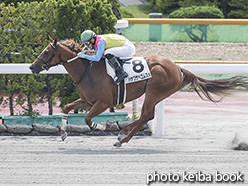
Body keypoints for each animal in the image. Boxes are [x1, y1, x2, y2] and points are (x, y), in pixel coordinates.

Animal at [30, 36, 247, 147]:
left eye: (46, 52)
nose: (32, 67)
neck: (88, 69)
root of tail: (178, 68)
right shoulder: (87, 101)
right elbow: (67, 108)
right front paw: (63, 133)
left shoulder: (103, 103)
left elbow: (87, 119)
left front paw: (105, 126)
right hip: (156, 94)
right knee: (145, 116)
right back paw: (122, 135)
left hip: (154, 92)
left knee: (146, 116)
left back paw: (121, 136)